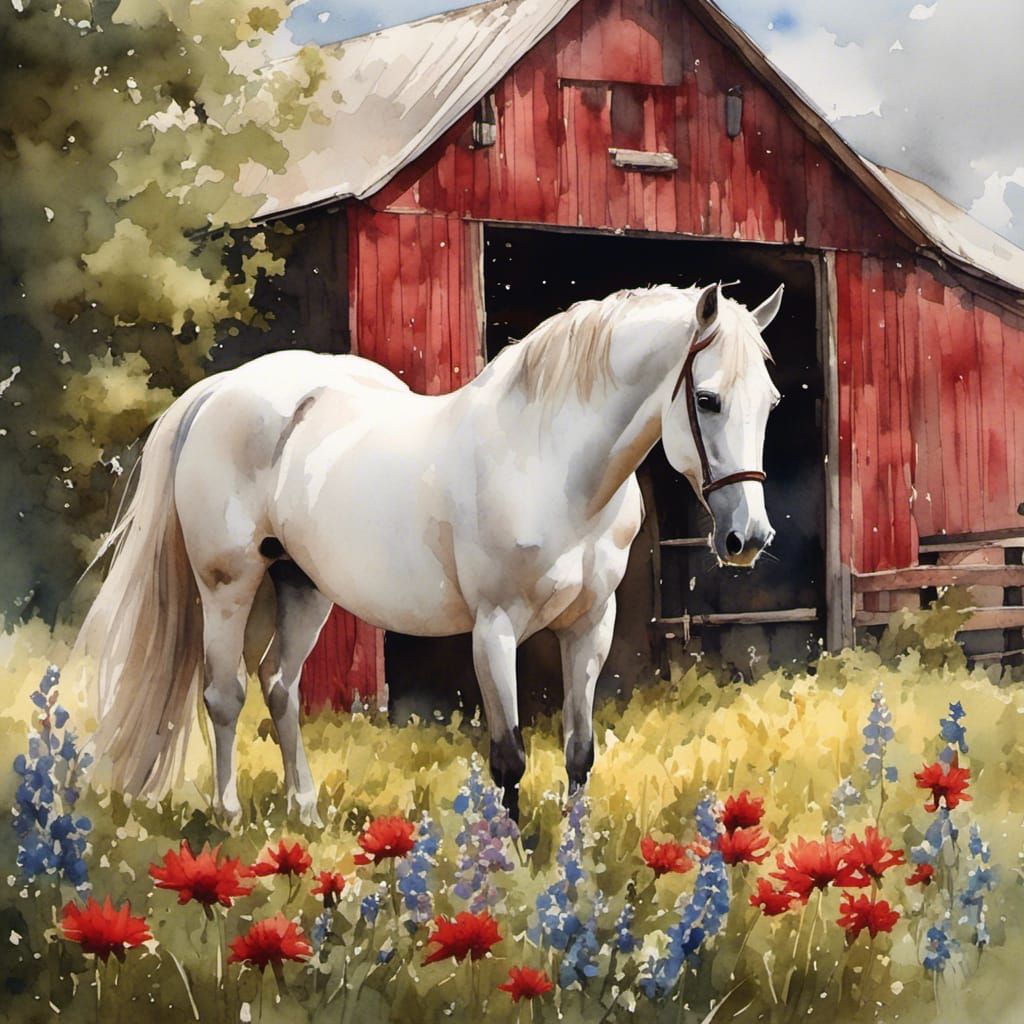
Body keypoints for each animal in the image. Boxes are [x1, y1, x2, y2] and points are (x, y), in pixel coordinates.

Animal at [75, 281, 782, 825]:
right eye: (707, 399)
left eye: (771, 402)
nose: (748, 539)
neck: (550, 464)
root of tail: (219, 390)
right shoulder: (495, 629)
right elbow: (508, 755)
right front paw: (510, 865)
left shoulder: (590, 625)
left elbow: (579, 751)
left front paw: (574, 859)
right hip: (228, 583)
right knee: (225, 694)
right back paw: (229, 820)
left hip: (305, 584)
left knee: (280, 685)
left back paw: (305, 812)